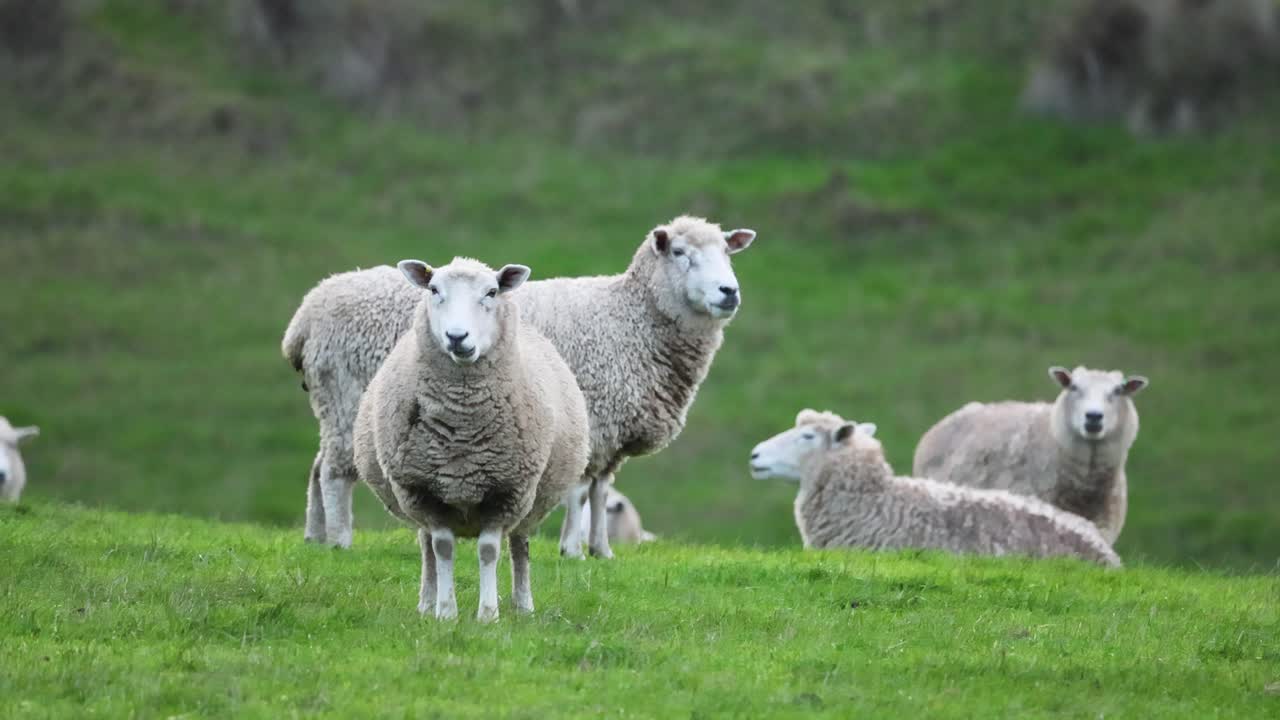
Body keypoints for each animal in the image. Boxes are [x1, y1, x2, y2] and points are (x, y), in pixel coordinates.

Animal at [284, 215, 756, 557]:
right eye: (679, 252)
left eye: (727, 252)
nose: (729, 291)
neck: (630, 317)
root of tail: (306, 313)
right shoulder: (589, 414)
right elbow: (580, 491)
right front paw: (572, 550)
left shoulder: (607, 430)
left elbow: (601, 490)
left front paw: (602, 551)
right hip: (347, 395)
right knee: (334, 471)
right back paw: (341, 541)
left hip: (334, 404)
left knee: (317, 466)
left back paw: (314, 537)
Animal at [353, 257, 589, 621]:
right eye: (434, 289)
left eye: (491, 292)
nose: (456, 336)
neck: (461, 429)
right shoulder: (424, 492)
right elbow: (442, 548)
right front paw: (445, 612)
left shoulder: (506, 492)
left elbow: (489, 550)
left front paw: (488, 614)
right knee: (427, 549)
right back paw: (426, 602)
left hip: (530, 502)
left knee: (519, 546)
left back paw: (523, 605)